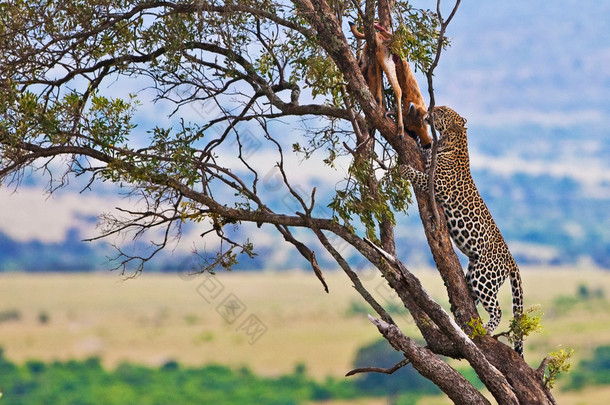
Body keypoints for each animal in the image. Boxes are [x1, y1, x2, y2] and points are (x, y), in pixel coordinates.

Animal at [400, 105, 524, 356]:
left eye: (440, 110)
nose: (429, 109)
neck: (451, 140)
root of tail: (511, 259)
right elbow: (423, 150)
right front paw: (412, 136)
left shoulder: (436, 183)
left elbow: (419, 175)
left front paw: (404, 169)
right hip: (474, 270)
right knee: (470, 299)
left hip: (484, 276)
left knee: (496, 309)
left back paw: (486, 330)